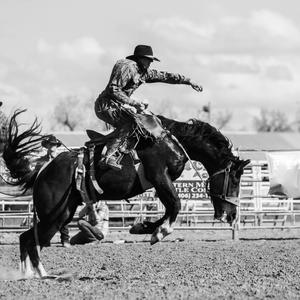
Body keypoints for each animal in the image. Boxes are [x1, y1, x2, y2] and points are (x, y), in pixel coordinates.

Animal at [2, 109, 250, 278]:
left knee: (26, 238)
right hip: (54, 215)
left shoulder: (159, 183)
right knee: (30, 239)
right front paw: (159, 232)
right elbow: (175, 205)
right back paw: (42, 274)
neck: (170, 140)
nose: (231, 215)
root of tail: (41, 170)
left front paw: (143, 227)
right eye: (235, 178)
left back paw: (30, 275)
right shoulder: (160, 176)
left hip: (62, 213)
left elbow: (168, 208)